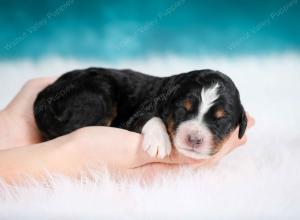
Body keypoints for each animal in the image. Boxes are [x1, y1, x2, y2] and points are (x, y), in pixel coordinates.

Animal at [34, 68, 247, 159]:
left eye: (221, 119)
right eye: (182, 109)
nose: (194, 139)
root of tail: (44, 95)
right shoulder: (135, 116)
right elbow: (150, 118)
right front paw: (160, 142)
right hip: (98, 97)